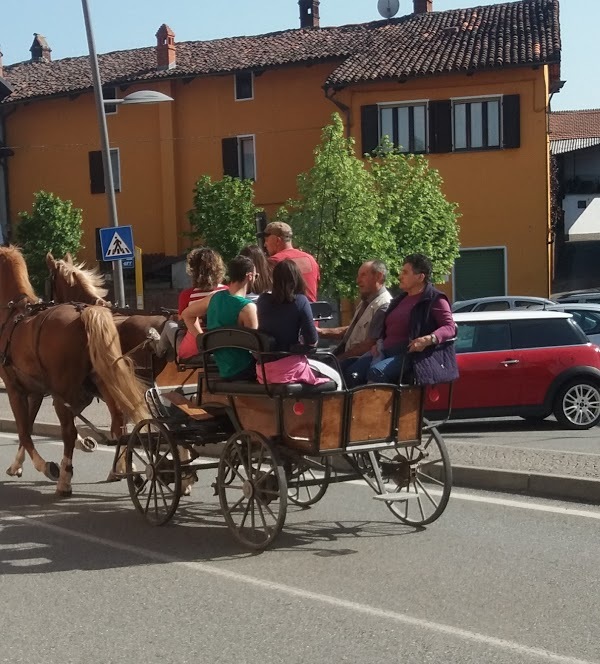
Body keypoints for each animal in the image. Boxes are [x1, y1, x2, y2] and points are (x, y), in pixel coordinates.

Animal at [0, 246, 149, 496]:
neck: (14, 316)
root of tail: (84, 314)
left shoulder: (15, 389)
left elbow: (24, 431)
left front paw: (45, 466)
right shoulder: (37, 391)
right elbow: (28, 426)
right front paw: (16, 465)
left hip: (69, 392)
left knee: (70, 431)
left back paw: (65, 478)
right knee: (120, 422)